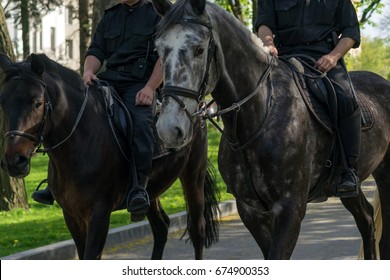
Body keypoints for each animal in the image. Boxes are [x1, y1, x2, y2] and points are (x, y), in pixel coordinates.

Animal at [0, 53, 219, 260]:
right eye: (3, 103)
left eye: (38, 103)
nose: (14, 161)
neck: (80, 140)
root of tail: (198, 109)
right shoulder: (71, 215)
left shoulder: (99, 214)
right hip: (151, 190)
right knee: (161, 227)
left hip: (193, 176)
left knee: (197, 230)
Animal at [151, 0, 390, 260]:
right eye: (159, 50)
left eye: (199, 49)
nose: (169, 128)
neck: (260, 114)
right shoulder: (250, 210)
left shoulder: (290, 208)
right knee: (366, 219)